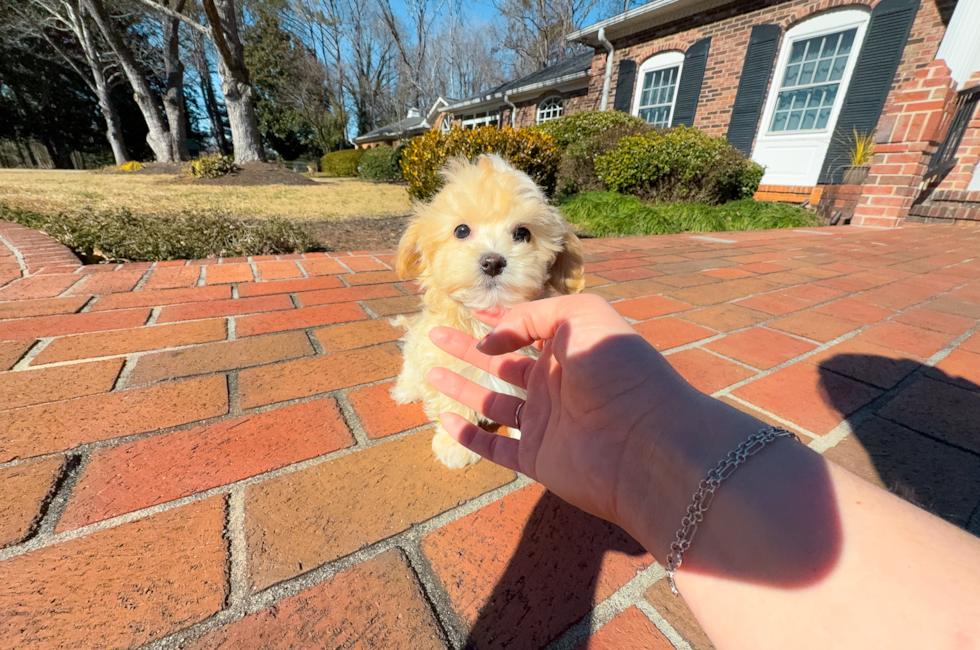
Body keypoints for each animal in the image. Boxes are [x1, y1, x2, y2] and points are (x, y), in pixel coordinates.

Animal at [392, 153, 588, 466]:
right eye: (461, 230)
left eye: (523, 233)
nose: (493, 262)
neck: (485, 323)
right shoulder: (441, 364)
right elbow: (452, 404)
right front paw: (455, 444)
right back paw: (405, 391)